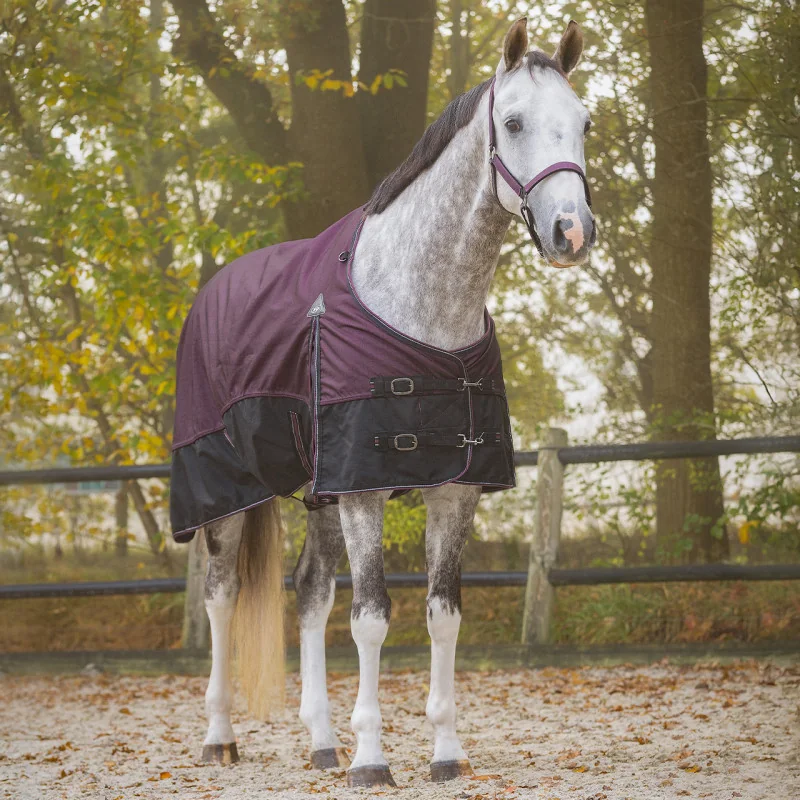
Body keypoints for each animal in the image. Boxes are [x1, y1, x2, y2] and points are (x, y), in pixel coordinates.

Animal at [170, 16, 595, 788]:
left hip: (319, 495)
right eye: (514, 122)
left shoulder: (451, 489)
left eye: (585, 122)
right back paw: (220, 738)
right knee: (220, 596)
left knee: (310, 592)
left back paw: (320, 742)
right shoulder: (365, 488)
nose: (572, 233)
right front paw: (372, 759)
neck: (425, 310)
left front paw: (445, 751)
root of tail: (212, 291)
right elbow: (370, 617)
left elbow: (441, 615)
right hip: (228, 494)